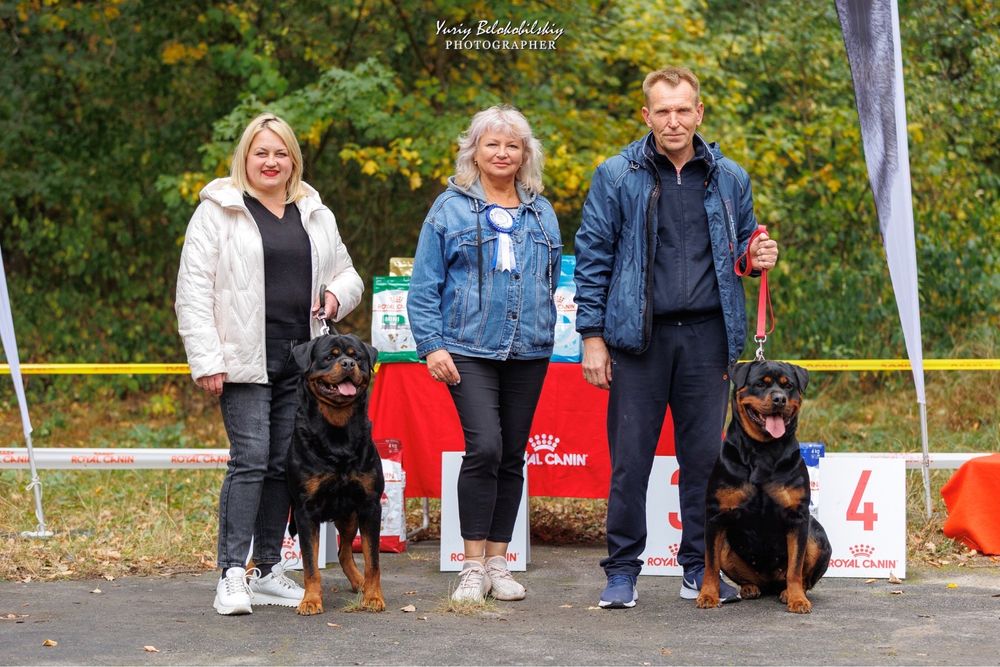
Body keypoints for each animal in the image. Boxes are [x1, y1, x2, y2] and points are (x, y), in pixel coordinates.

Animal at [290, 334, 386, 616]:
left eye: (357, 357)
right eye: (329, 357)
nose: (347, 364)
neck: (337, 430)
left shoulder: (369, 504)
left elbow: (372, 559)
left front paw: (373, 596)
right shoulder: (305, 510)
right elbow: (310, 564)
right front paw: (311, 600)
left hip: (349, 515)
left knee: (345, 553)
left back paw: (360, 583)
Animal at [696, 362, 828, 612]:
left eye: (788, 386)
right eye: (760, 384)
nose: (779, 399)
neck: (762, 450)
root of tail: (769, 583)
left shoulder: (797, 517)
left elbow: (795, 568)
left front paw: (797, 599)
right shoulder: (716, 515)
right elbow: (710, 563)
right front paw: (707, 595)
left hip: (816, 538)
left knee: (802, 576)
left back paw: (789, 592)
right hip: (727, 544)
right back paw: (749, 588)